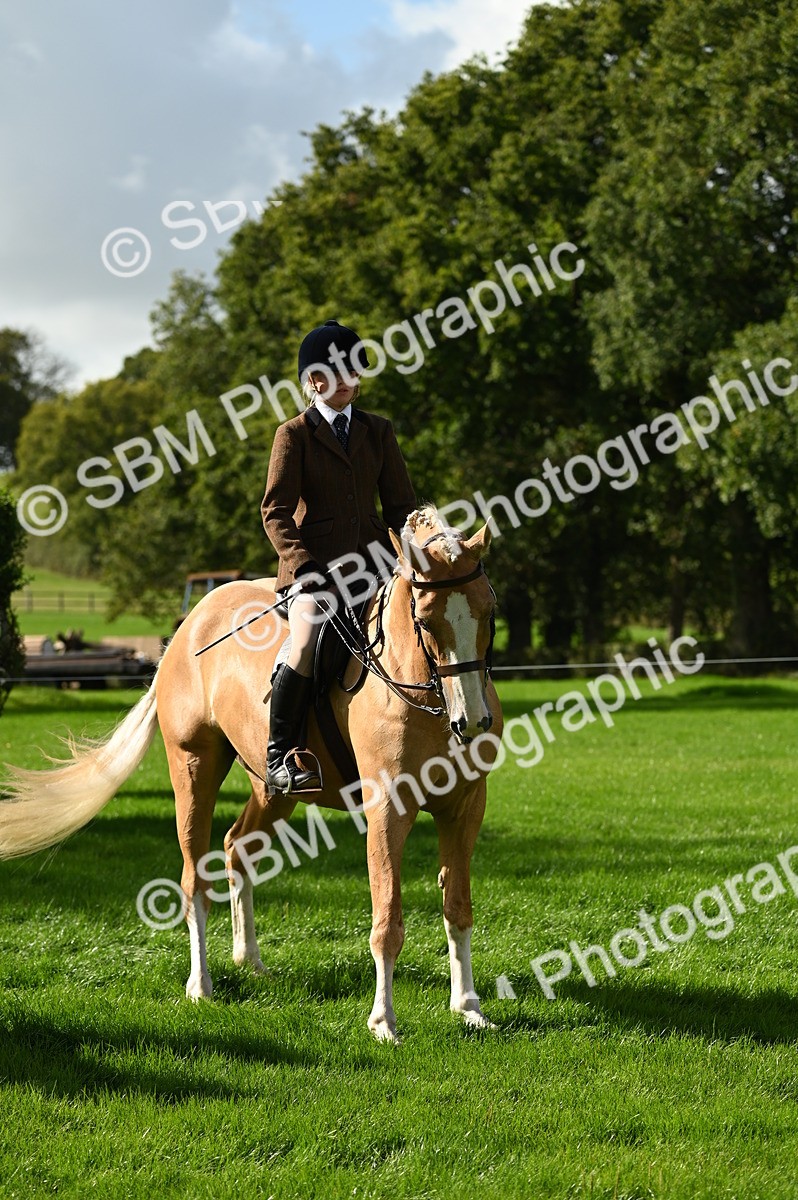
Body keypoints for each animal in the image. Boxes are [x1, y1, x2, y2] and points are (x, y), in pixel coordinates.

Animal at [0, 506, 503, 1042]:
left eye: (488, 614)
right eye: (426, 621)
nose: (472, 721)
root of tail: (187, 627)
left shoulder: (465, 809)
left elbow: (458, 909)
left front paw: (469, 1009)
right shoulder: (388, 809)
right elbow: (387, 920)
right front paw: (383, 1022)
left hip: (274, 789)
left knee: (237, 846)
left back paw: (250, 961)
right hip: (193, 768)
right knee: (194, 878)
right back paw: (201, 986)